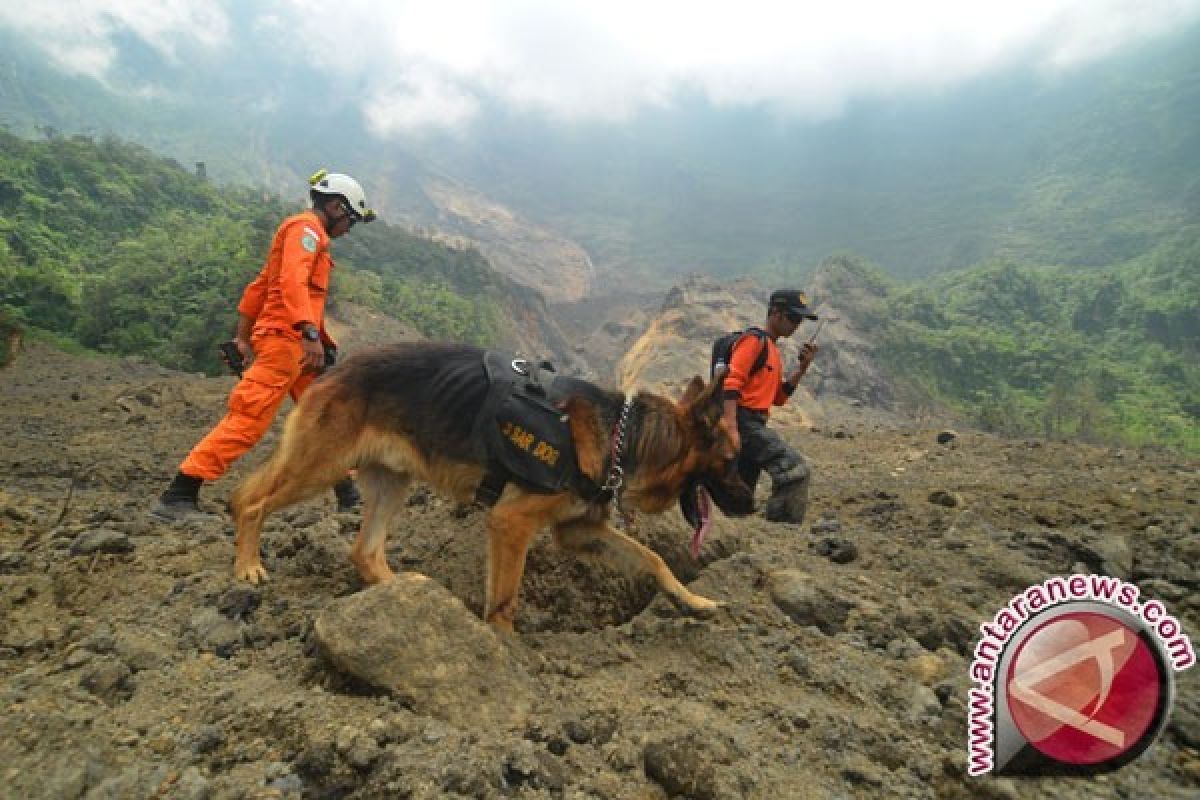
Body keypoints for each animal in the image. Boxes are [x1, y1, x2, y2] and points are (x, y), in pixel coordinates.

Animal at [228, 340, 748, 633]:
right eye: (732, 460)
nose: (750, 503)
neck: (625, 437)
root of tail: (337, 367)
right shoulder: (511, 523)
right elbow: (504, 599)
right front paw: (505, 649)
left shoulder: (580, 531)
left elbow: (654, 559)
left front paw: (694, 600)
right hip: (320, 467)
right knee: (252, 503)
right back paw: (248, 565)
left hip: (391, 481)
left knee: (364, 552)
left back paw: (413, 595)